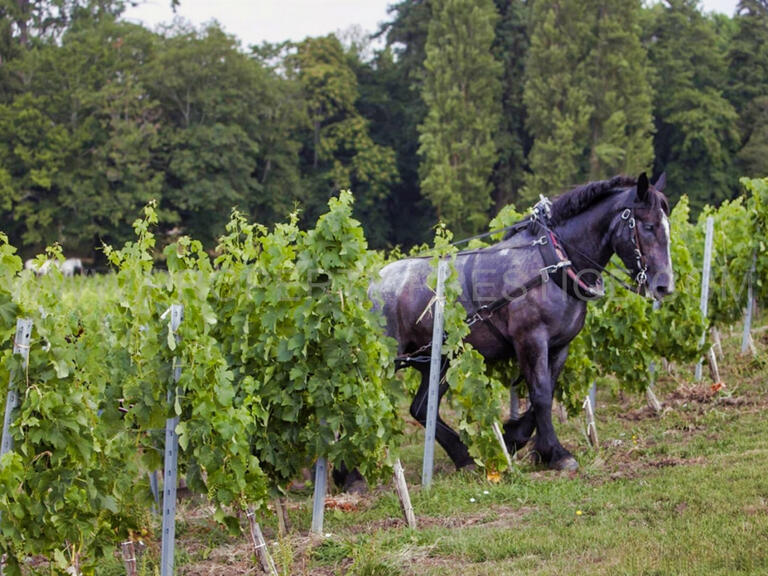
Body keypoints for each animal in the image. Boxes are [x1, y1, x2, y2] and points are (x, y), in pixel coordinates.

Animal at [366, 173, 672, 474]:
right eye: (648, 226)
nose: (664, 286)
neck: (553, 264)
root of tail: (372, 283)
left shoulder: (560, 346)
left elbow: (548, 391)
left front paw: (516, 438)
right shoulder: (531, 340)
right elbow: (540, 393)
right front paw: (556, 453)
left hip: (441, 359)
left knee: (421, 408)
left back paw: (464, 458)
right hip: (390, 359)